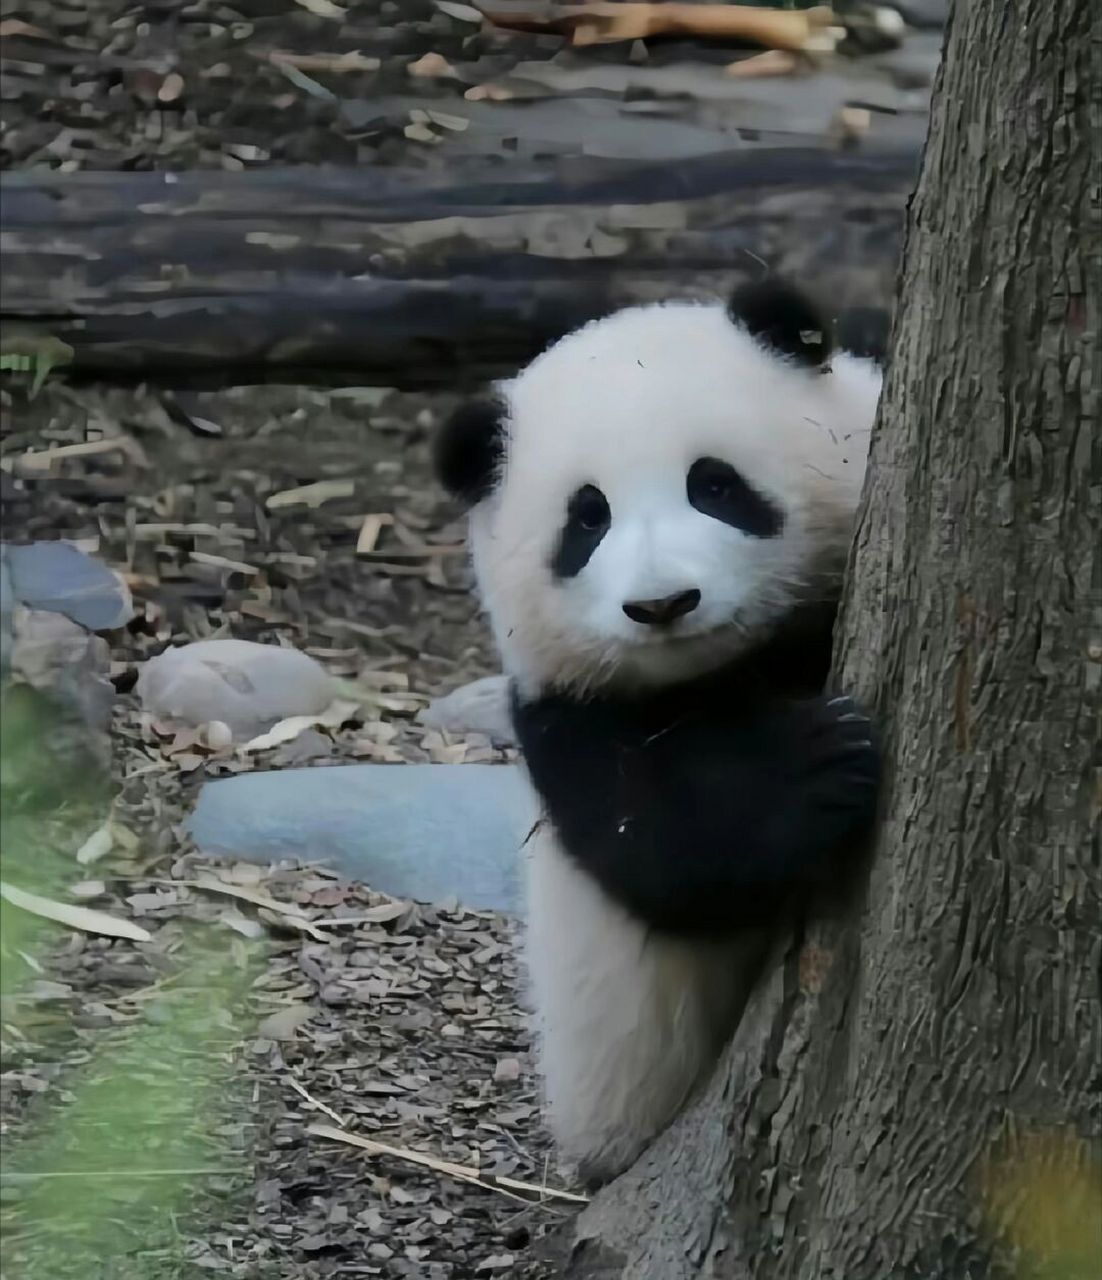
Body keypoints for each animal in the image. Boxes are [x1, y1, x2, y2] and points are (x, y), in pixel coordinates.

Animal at [432, 275, 885, 1182]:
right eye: (587, 519)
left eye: (714, 484)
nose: (663, 603)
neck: (740, 665)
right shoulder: (566, 718)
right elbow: (669, 848)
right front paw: (820, 762)